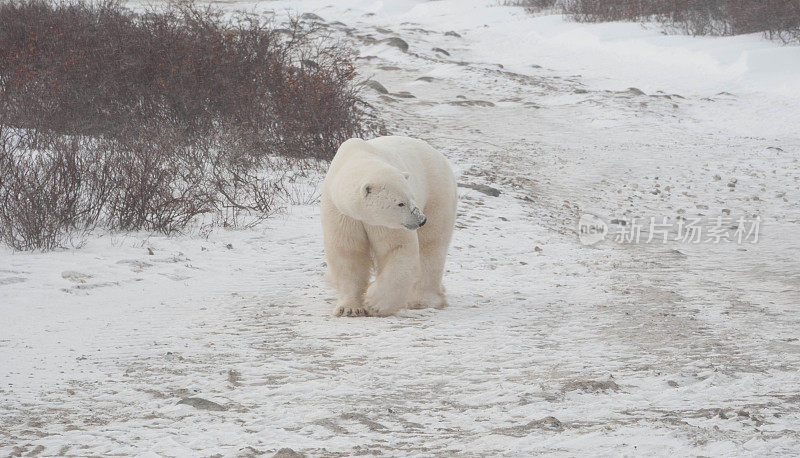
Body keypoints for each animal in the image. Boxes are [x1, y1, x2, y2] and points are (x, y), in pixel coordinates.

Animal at [320, 134, 456, 316]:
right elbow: (348, 253)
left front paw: (373, 303)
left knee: (432, 245)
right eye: (400, 203)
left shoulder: (385, 223)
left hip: (437, 192)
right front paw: (349, 308)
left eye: (411, 197)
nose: (421, 219)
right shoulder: (342, 213)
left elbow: (396, 247)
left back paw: (423, 299)